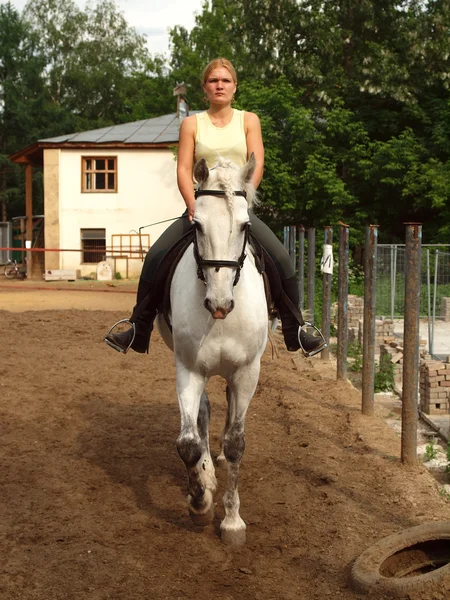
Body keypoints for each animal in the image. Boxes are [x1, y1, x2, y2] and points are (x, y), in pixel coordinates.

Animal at [156, 154, 268, 544]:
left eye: (245, 225)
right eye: (198, 225)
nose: (219, 304)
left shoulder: (247, 372)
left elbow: (236, 444)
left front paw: (232, 521)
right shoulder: (188, 369)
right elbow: (188, 443)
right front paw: (200, 503)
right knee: (203, 413)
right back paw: (207, 470)